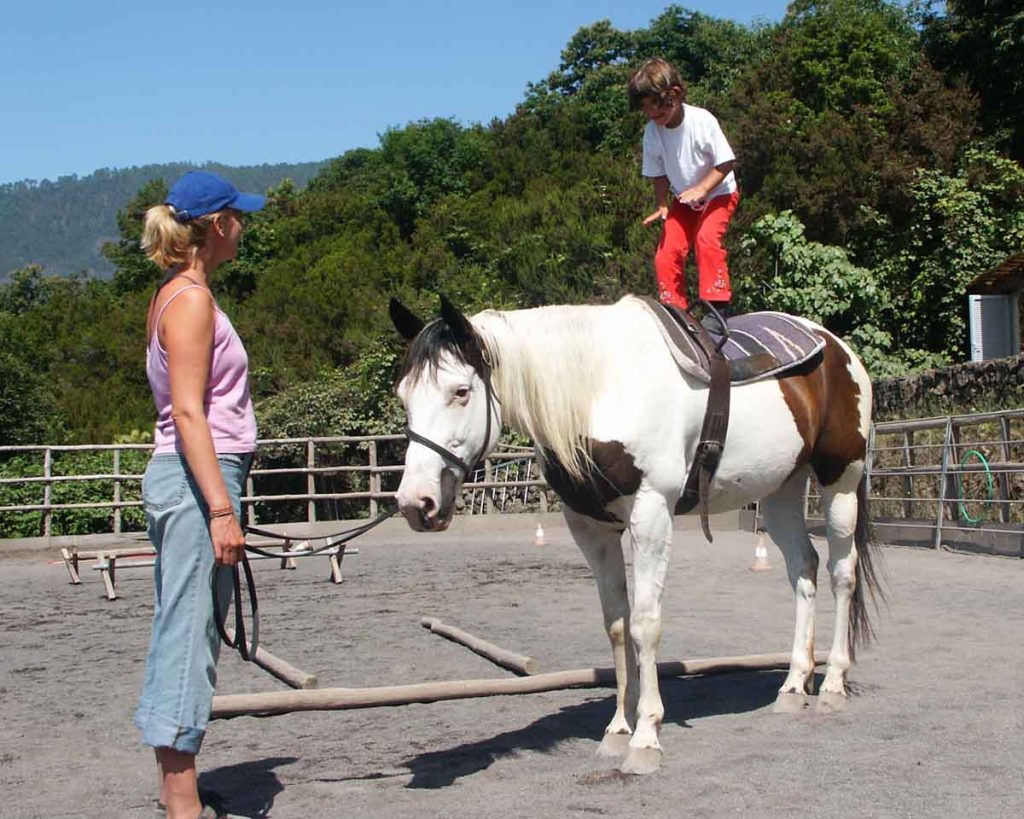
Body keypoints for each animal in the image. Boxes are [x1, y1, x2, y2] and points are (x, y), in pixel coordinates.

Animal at [385, 292, 880, 773]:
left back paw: (833, 682)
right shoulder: (592, 529)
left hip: (841, 480)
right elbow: (618, 626)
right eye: (404, 396)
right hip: (780, 491)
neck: (600, 389)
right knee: (803, 568)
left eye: (460, 391)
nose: (415, 502)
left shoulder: (652, 514)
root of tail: (837, 348)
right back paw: (794, 684)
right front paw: (617, 730)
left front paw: (646, 737)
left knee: (841, 572)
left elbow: (645, 623)